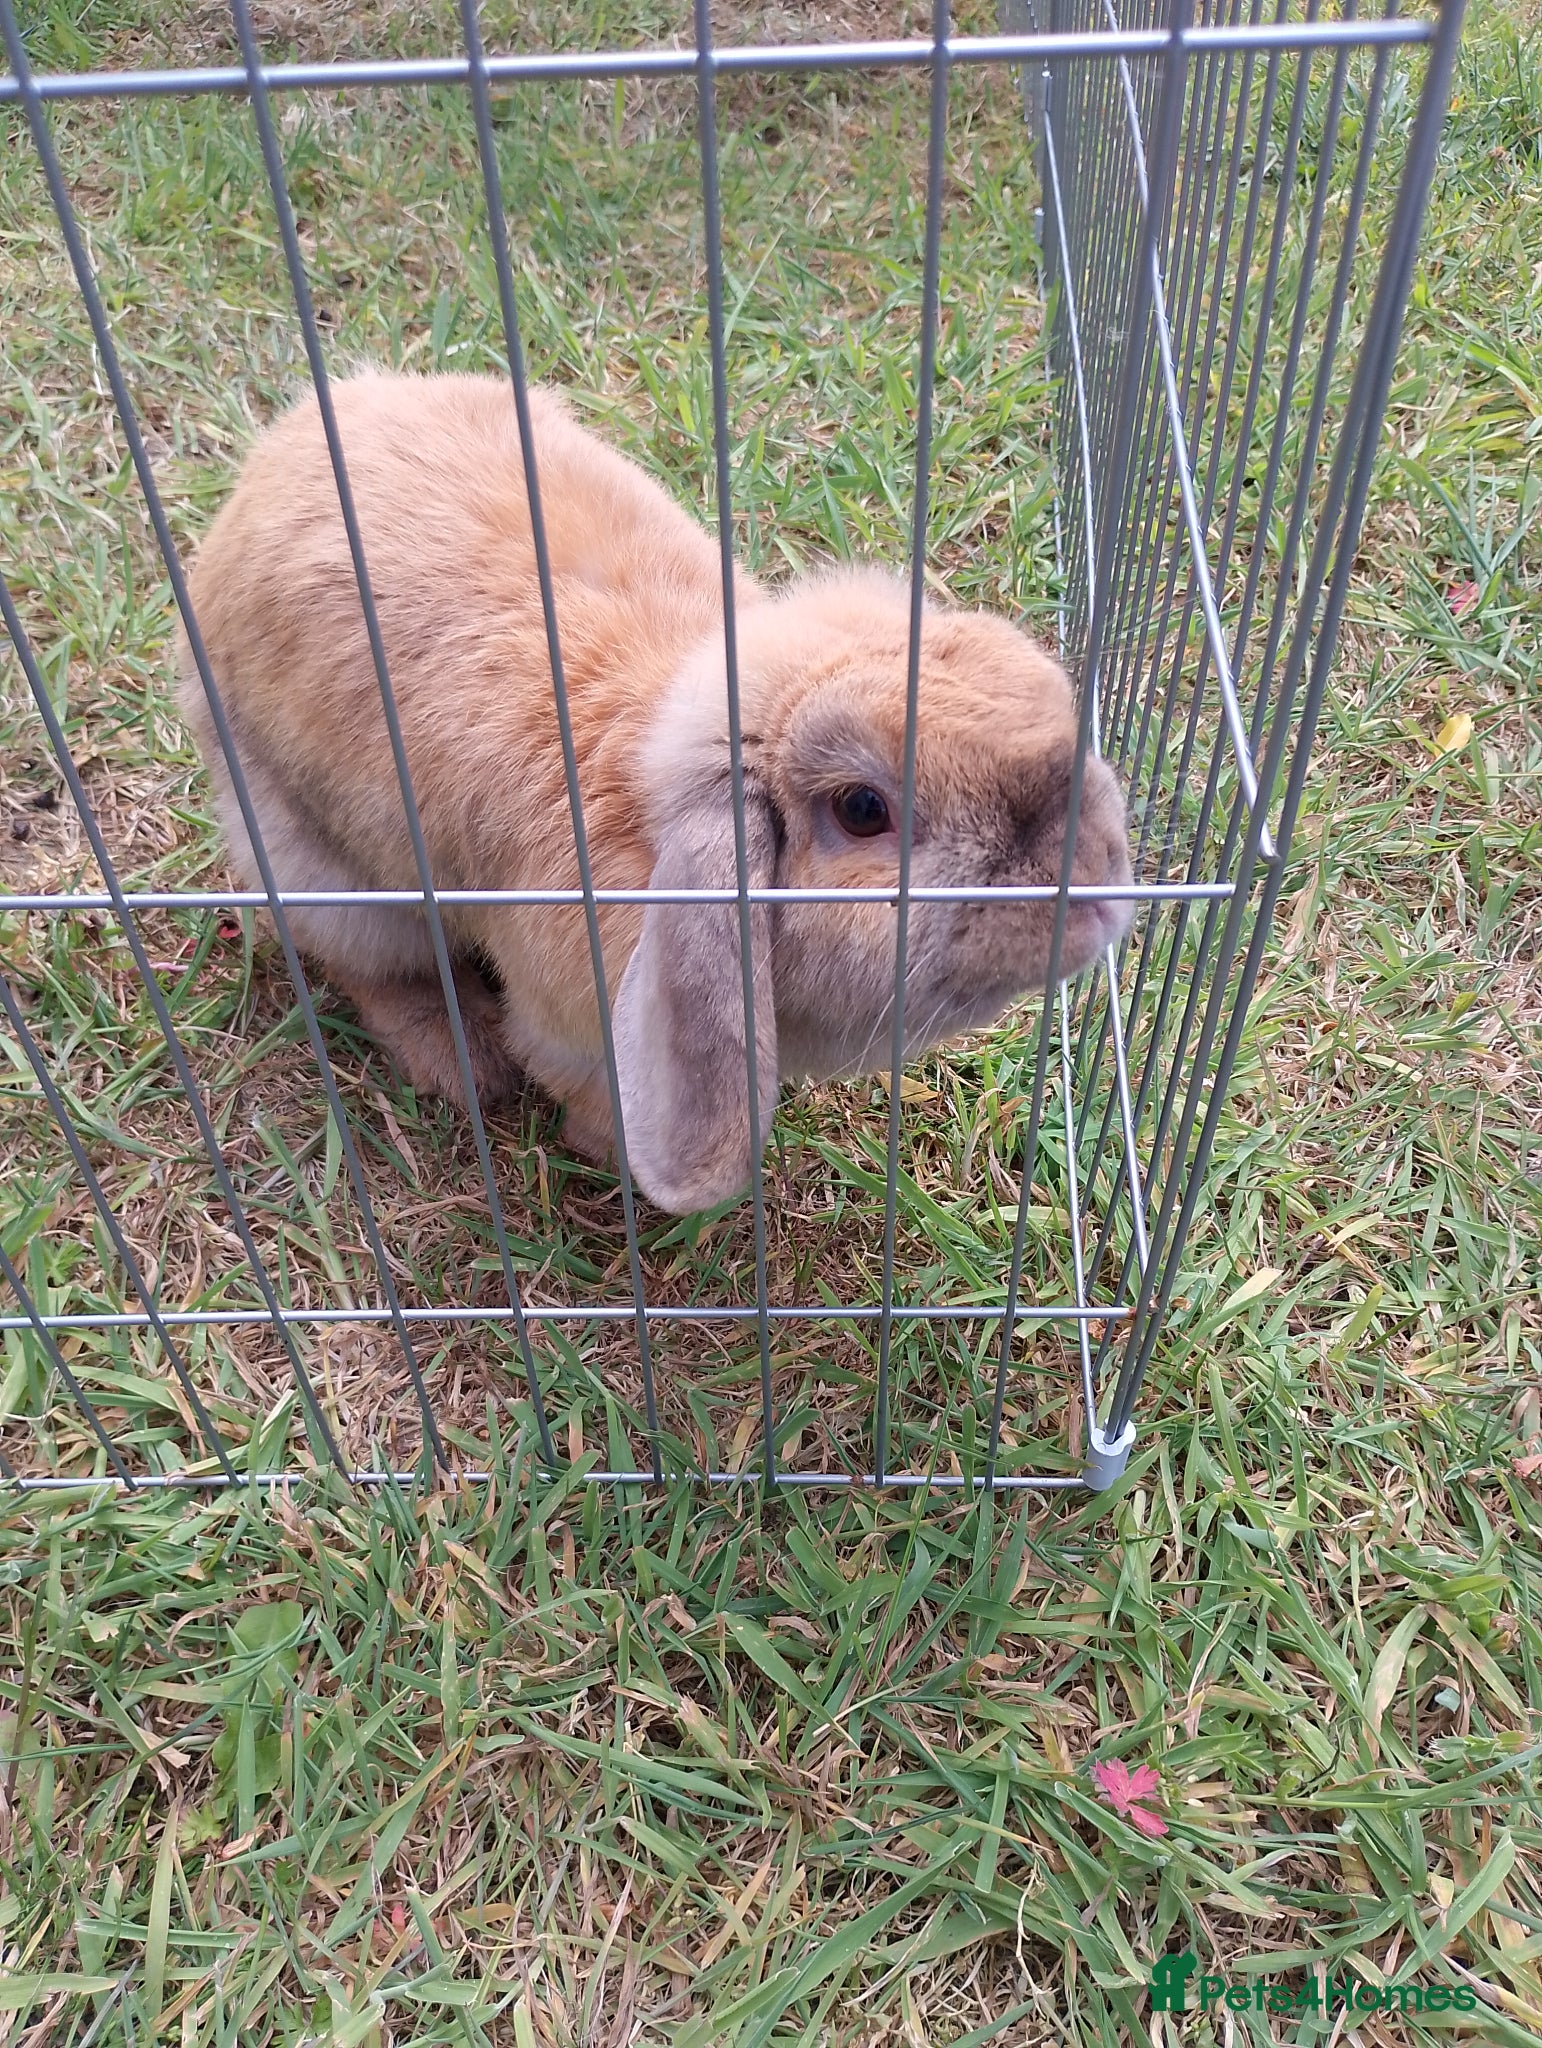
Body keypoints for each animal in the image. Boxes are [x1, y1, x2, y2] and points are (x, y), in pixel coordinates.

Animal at [178, 369, 1134, 1215]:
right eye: (864, 810)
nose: (1099, 867)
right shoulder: (573, 1033)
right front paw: (610, 1156)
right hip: (322, 866)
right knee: (372, 967)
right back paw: (463, 1064)